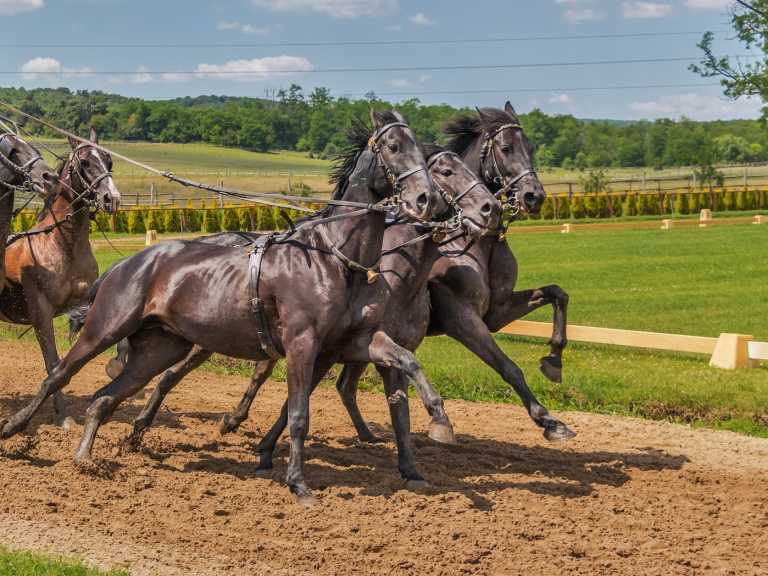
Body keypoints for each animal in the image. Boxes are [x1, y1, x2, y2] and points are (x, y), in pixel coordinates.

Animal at [0, 130, 121, 428]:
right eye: (85, 162)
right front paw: (63, 416)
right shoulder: (40, 311)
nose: (111, 198)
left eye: (109, 161)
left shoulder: (85, 302)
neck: (62, 243)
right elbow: (52, 363)